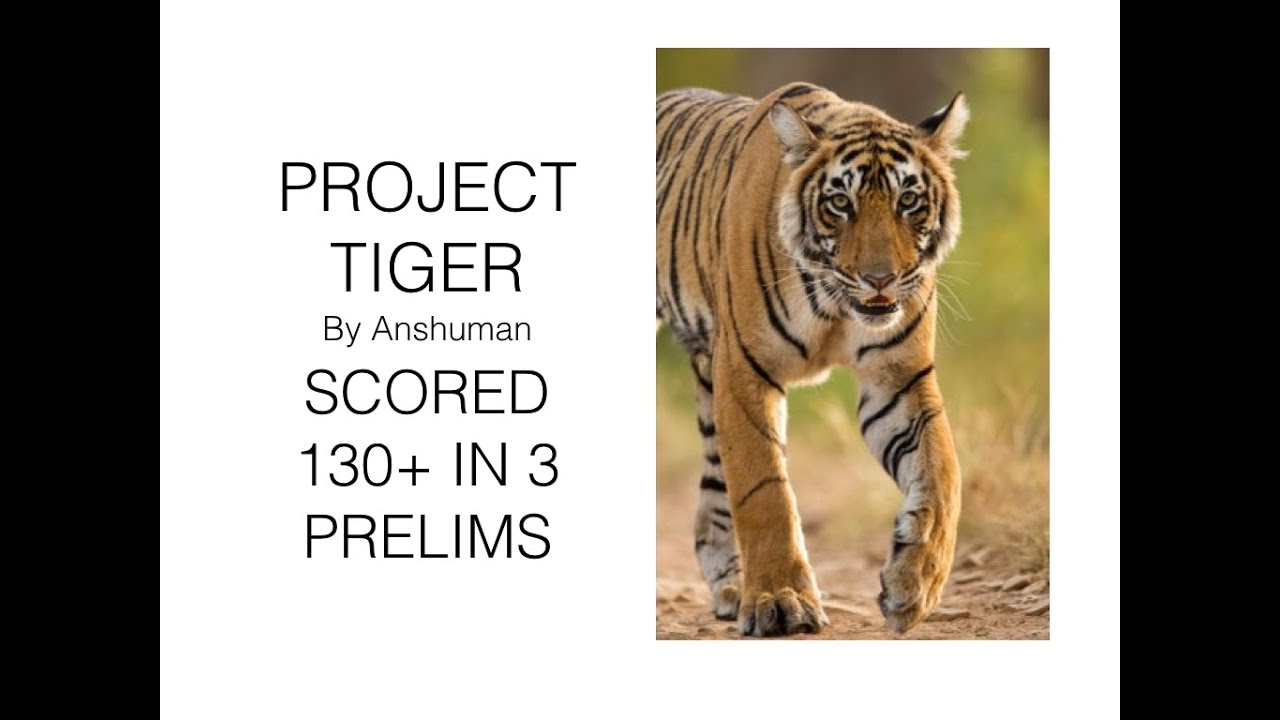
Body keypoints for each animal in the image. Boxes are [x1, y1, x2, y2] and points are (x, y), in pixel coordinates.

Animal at [656, 82, 968, 636]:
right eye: (839, 203)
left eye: (908, 200)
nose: (880, 279)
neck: (835, 302)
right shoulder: (744, 369)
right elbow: (764, 490)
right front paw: (781, 602)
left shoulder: (897, 379)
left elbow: (942, 472)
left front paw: (914, 585)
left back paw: (731, 589)